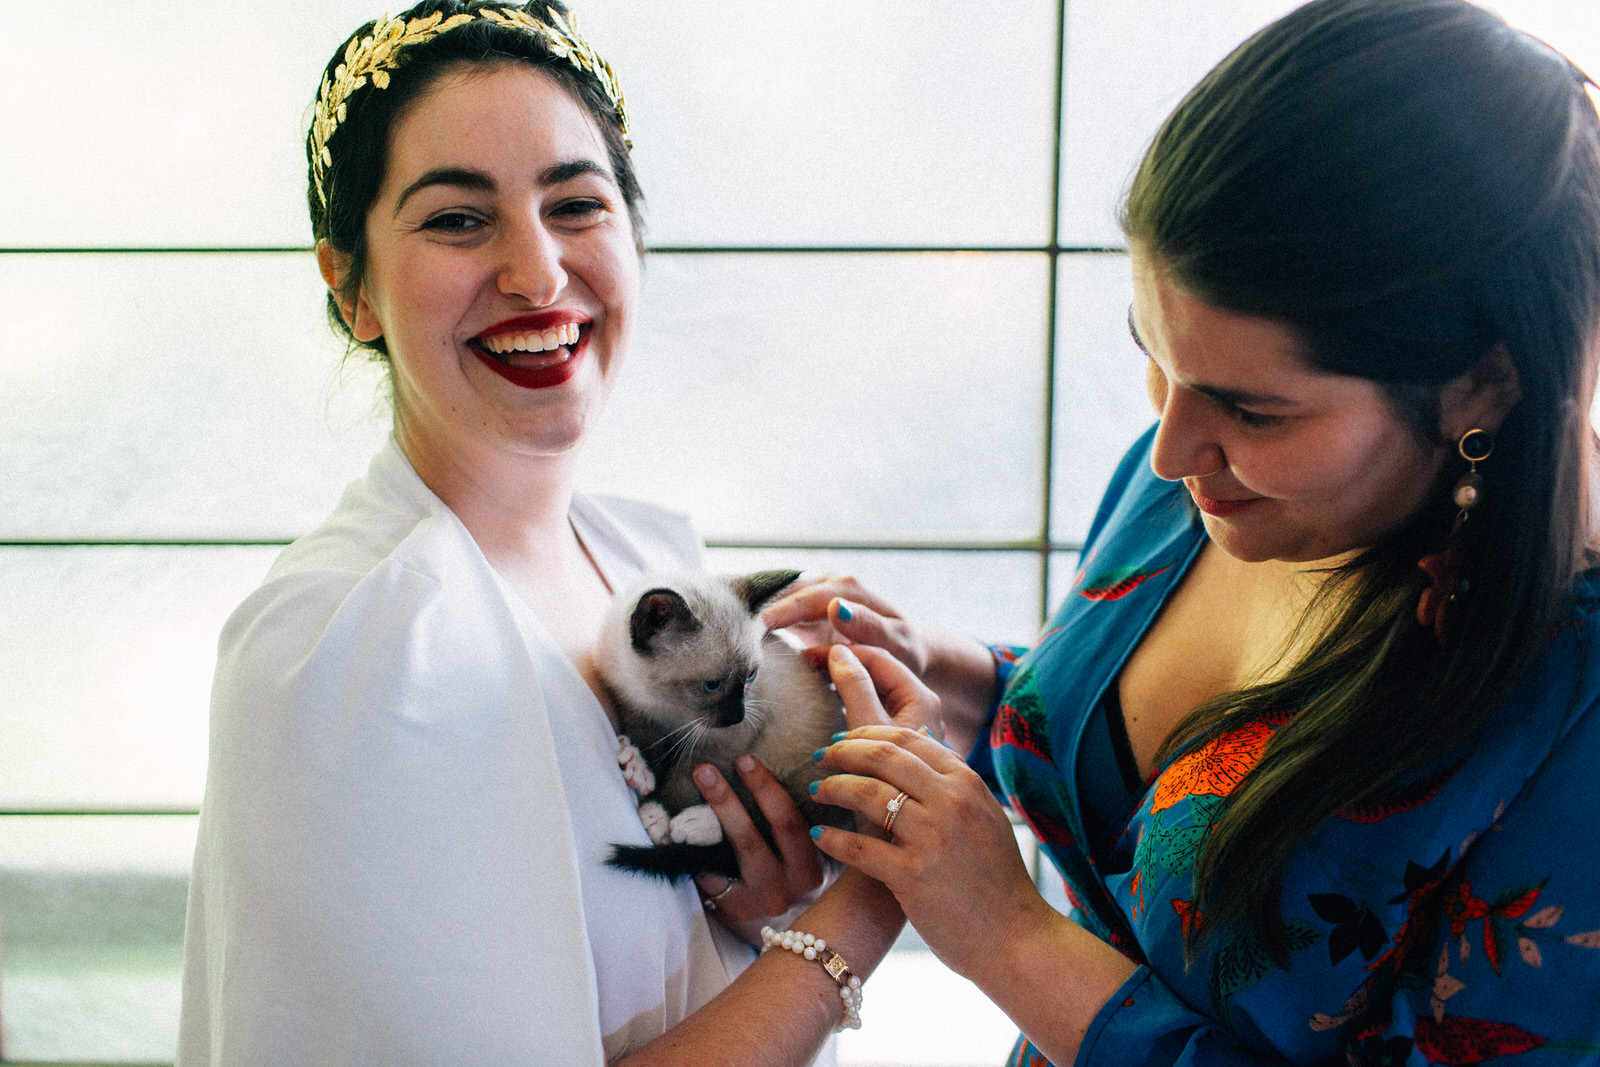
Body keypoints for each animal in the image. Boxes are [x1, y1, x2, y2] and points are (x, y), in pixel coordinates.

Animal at [601, 572, 851, 883]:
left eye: (751, 675)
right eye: (712, 685)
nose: (737, 715)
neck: (668, 708)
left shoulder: (722, 738)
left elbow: (686, 778)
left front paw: (662, 814)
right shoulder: (637, 708)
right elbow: (650, 748)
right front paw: (639, 768)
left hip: (796, 769)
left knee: (786, 823)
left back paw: (693, 825)